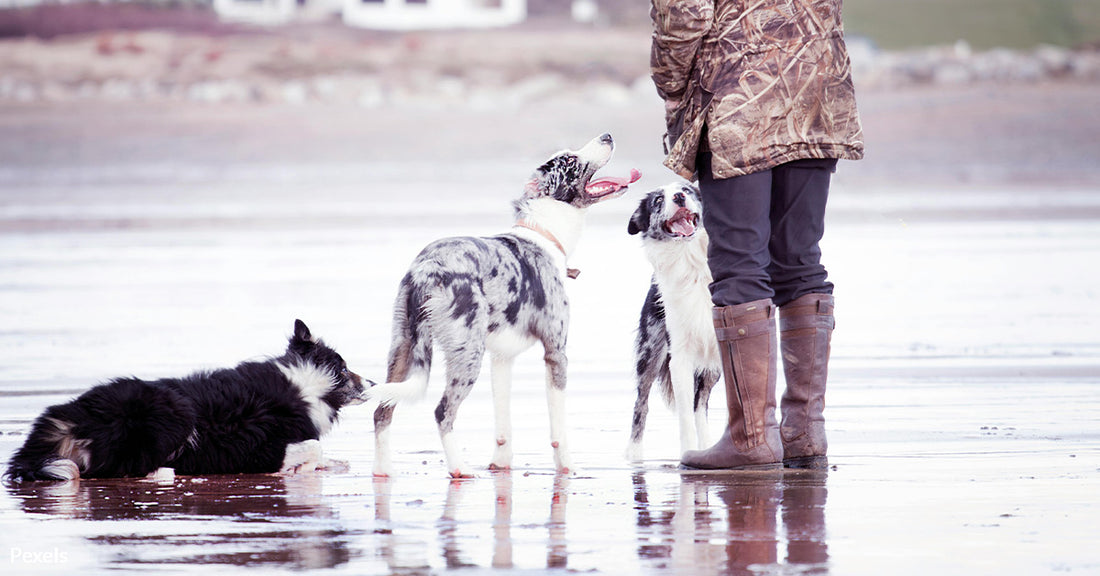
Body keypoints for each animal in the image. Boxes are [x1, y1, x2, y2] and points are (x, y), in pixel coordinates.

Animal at [1, 318, 374, 481]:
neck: (307, 383)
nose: (372, 382)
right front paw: (307, 464)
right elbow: (312, 447)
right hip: (173, 411)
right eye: (345, 367)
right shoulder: (256, 447)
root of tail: (71, 416)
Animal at [374, 134, 642, 477]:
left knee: (382, 411)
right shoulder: (556, 354)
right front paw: (567, 467)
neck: (545, 233)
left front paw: (500, 465)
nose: (607, 135)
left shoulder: (502, 358)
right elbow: (558, 431)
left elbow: (503, 427)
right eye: (569, 160)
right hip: (467, 356)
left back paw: (382, 471)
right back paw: (459, 468)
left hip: (402, 350)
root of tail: (427, 269)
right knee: (442, 411)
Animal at [629, 184, 721, 463]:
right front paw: (687, 453)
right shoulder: (679, 355)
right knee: (641, 404)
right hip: (650, 353)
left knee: (700, 404)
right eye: (659, 200)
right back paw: (634, 456)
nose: (679, 197)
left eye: (687, 190)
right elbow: (684, 416)